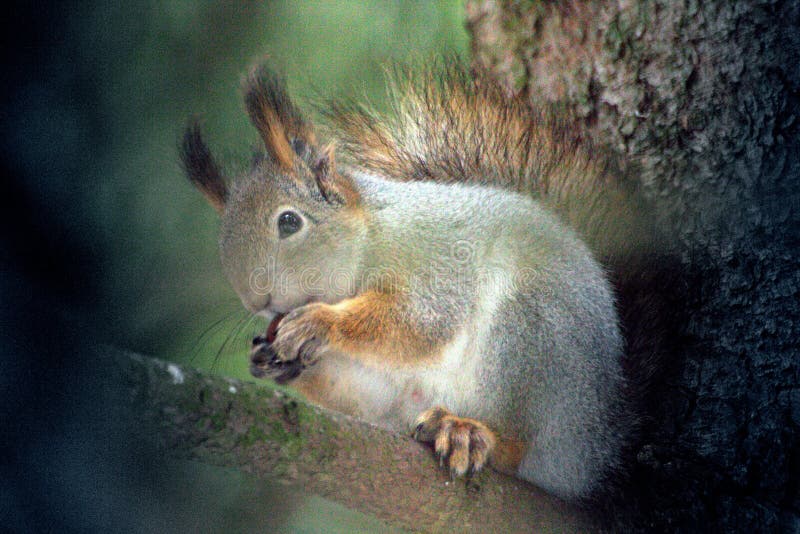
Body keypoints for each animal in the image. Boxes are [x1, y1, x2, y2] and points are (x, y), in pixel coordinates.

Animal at [180, 61, 664, 502]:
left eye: (288, 222)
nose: (256, 300)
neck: (370, 237)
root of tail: (600, 444)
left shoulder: (438, 257)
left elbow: (420, 320)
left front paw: (321, 322)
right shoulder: (372, 379)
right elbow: (356, 389)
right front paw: (272, 360)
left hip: (534, 334)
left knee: (520, 444)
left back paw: (472, 432)